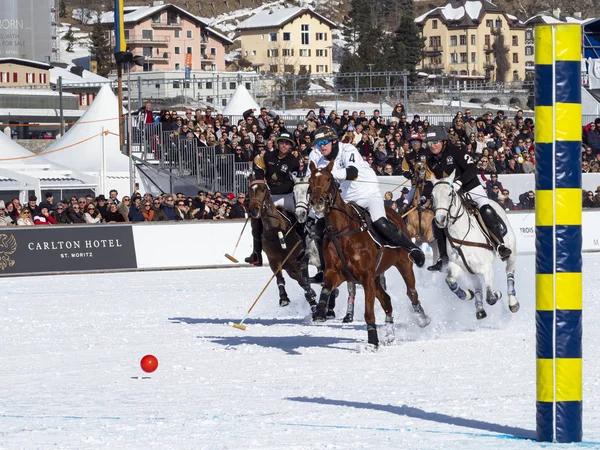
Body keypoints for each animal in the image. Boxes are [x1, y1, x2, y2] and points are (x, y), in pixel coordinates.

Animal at [247, 178, 316, 308]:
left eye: (263, 189)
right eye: (249, 190)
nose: (254, 210)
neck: (275, 233)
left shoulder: (297, 262)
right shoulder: (274, 261)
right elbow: (280, 279)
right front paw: (283, 298)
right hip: (290, 269)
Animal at [310, 160, 432, 346]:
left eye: (329, 179)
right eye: (309, 181)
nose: (318, 202)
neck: (342, 232)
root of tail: (395, 213)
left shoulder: (366, 276)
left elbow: (369, 312)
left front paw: (373, 341)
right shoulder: (336, 272)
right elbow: (326, 288)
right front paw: (319, 312)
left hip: (403, 263)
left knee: (412, 292)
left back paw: (422, 318)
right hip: (377, 275)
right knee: (387, 300)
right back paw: (389, 336)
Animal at [432, 173, 520, 320]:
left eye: (450, 193)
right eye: (432, 195)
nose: (440, 219)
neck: (461, 233)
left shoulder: (486, 266)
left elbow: (491, 298)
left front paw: (497, 293)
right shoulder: (459, 266)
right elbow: (450, 281)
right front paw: (467, 294)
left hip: (511, 252)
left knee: (510, 271)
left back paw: (513, 302)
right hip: (471, 270)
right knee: (477, 285)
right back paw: (479, 308)